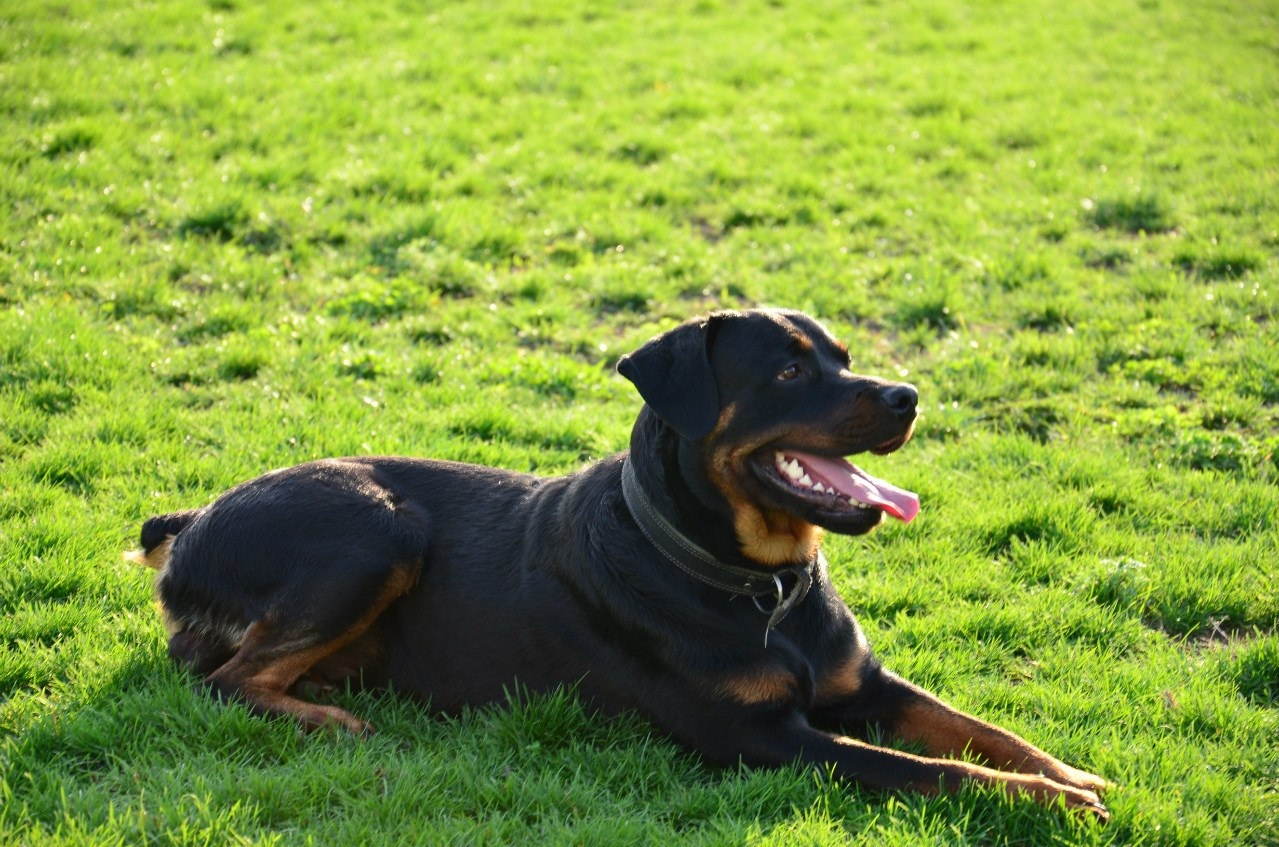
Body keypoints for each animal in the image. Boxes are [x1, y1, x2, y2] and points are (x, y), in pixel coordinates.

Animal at [127, 308, 1110, 818]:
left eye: (843, 356)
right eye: (789, 373)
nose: (907, 396)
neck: (762, 584)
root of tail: (194, 518)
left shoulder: (862, 682)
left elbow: (979, 729)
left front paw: (1070, 774)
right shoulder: (758, 738)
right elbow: (930, 768)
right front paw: (1050, 803)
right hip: (375, 528)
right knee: (224, 678)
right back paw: (333, 719)